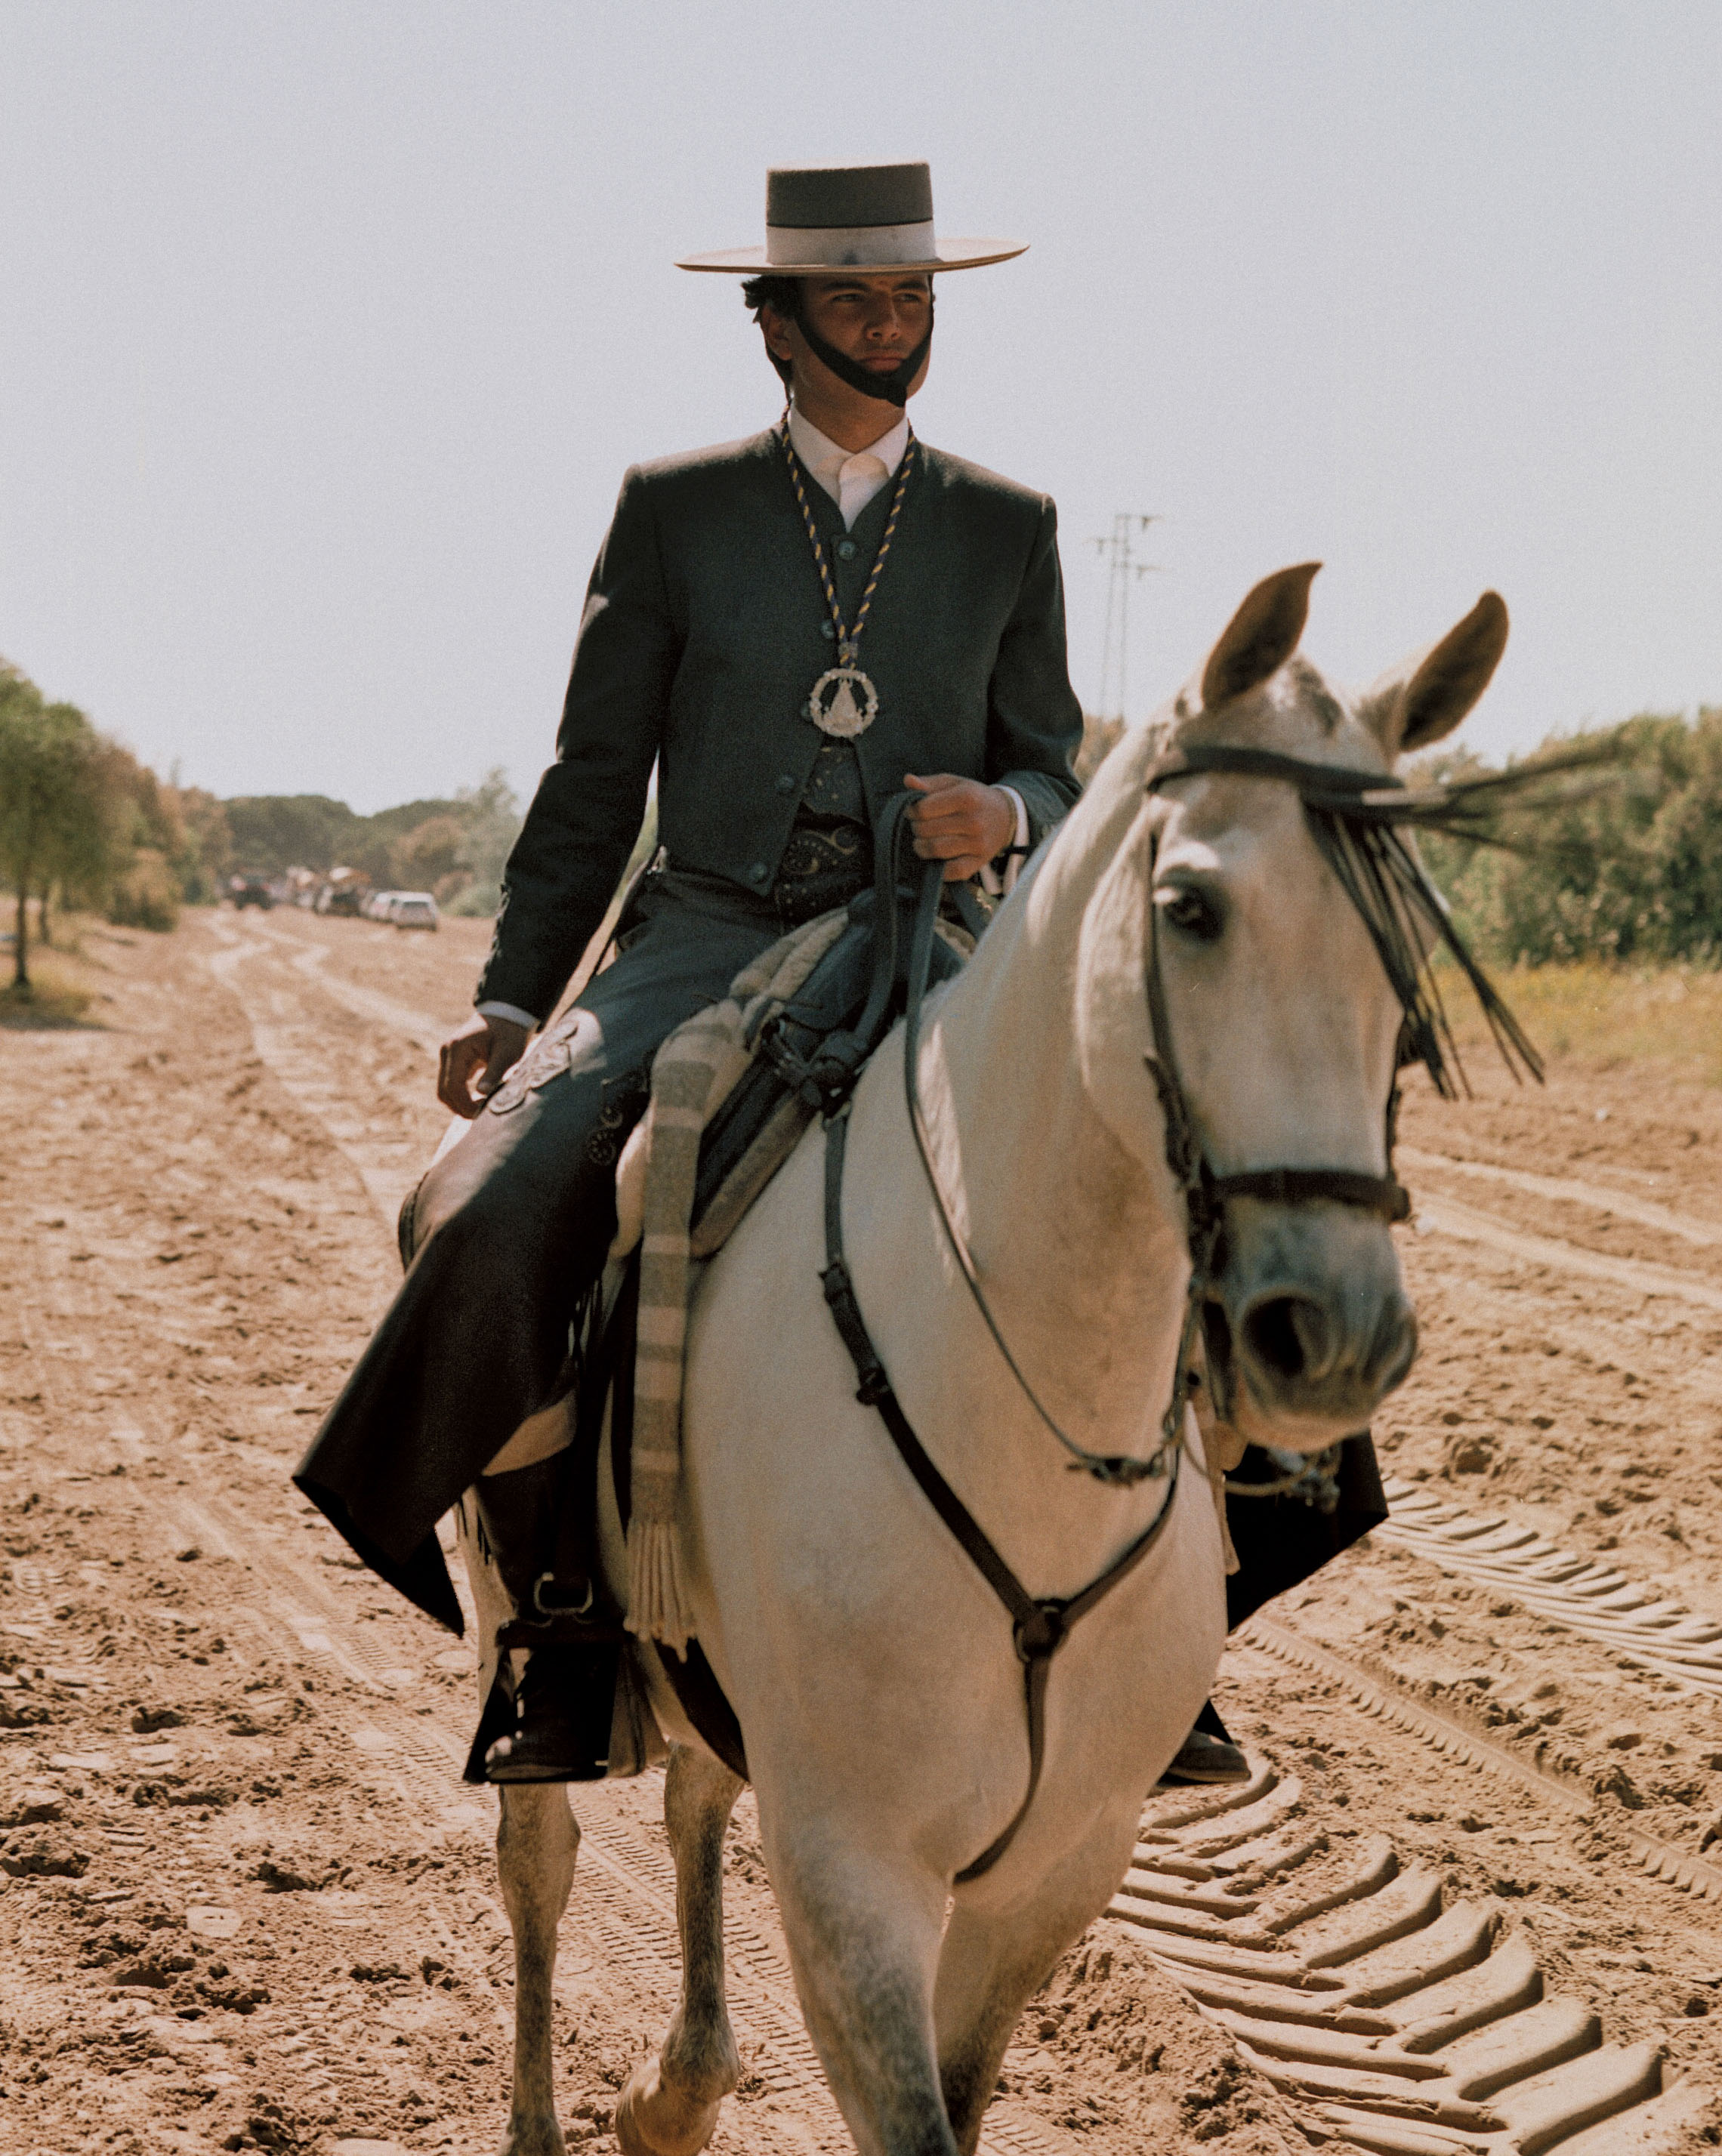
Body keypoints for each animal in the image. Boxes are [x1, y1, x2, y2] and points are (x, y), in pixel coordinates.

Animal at [471, 565, 1508, 2156]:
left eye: (1410, 936)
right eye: (1189, 908)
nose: (1334, 1333)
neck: (1027, 1419)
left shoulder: (1053, 1872)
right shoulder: (855, 1875)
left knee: (696, 1795)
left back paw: (678, 2087)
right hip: (519, 1634)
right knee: (544, 1858)